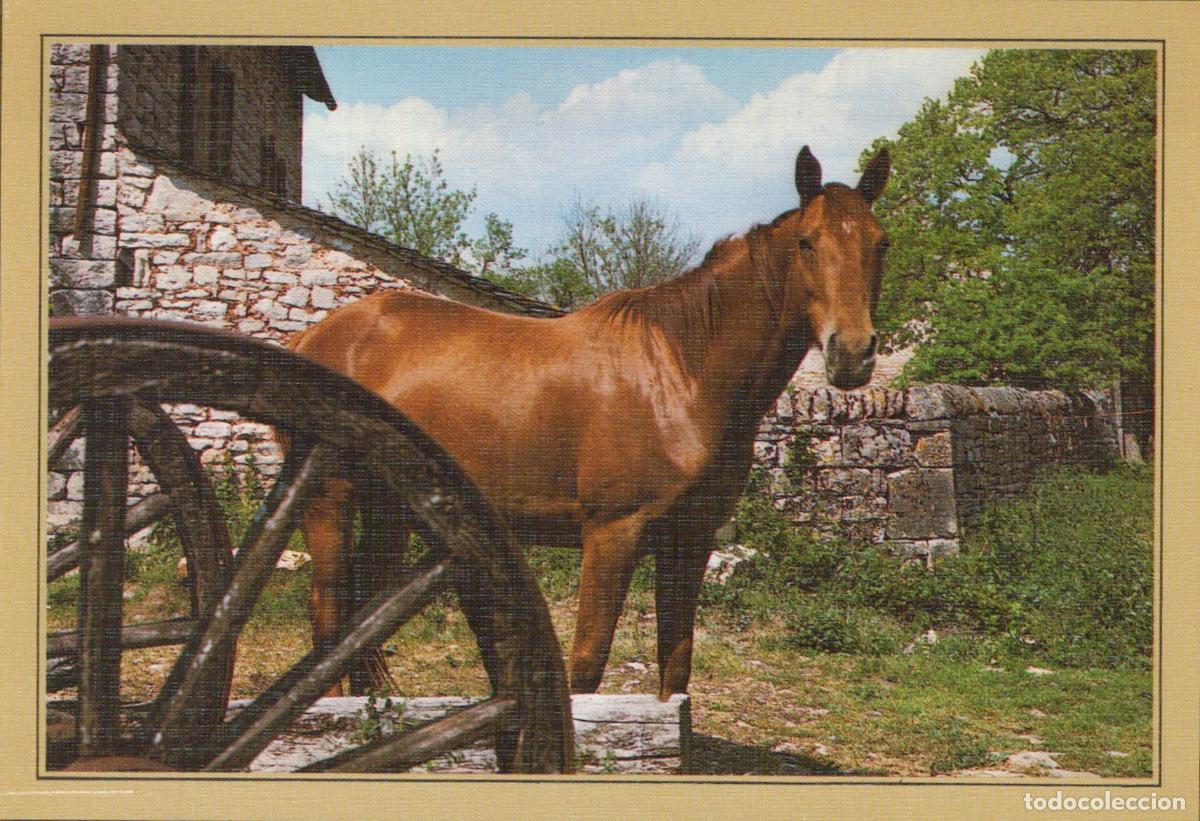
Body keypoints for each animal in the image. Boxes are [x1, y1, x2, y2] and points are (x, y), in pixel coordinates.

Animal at [289, 145, 891, 700]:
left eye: (880, 242)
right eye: (807, 242)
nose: (852, 354)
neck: (680, 373)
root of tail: (313, 337)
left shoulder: (689, 541)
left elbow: (675, 669)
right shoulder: (611, 535)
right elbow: (587, 666)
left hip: (392, 511)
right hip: (329, 499)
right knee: (329, 614)